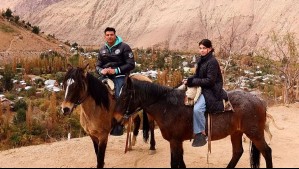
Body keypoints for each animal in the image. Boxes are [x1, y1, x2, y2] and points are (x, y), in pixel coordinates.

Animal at [113, 77, 274, 168]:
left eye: (125, 95)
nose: (115, 118)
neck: (167, 106)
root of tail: (259, 100)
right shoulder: (177, 142)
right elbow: (181, 162)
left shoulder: (175, 141)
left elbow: (175, 163)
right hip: (236, 132)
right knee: (237, 152)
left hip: (254, 133)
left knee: (267, 151)